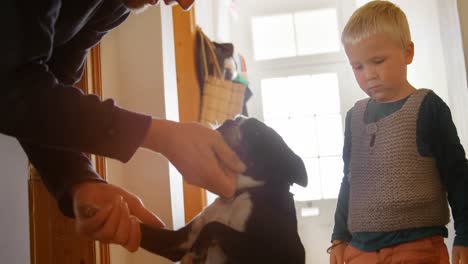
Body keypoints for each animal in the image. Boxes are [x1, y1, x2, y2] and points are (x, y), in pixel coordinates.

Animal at [138, 117, 308, 264]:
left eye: (256, 132)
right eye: (238, 118)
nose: (230, 120)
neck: (235, 196)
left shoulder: (266, 252)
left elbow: (214, 226)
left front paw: (198, 250)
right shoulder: (180, 241)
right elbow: (143, 231)